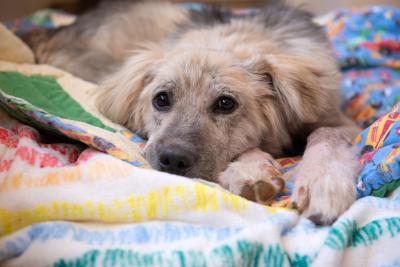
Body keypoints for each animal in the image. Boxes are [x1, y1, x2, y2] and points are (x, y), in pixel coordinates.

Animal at [25, 0, 362, 226]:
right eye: (161, 99)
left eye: (226, 104)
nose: (172, 161)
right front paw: (252, 170)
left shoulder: (342, 121)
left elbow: (324, 135)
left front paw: (324, 184)